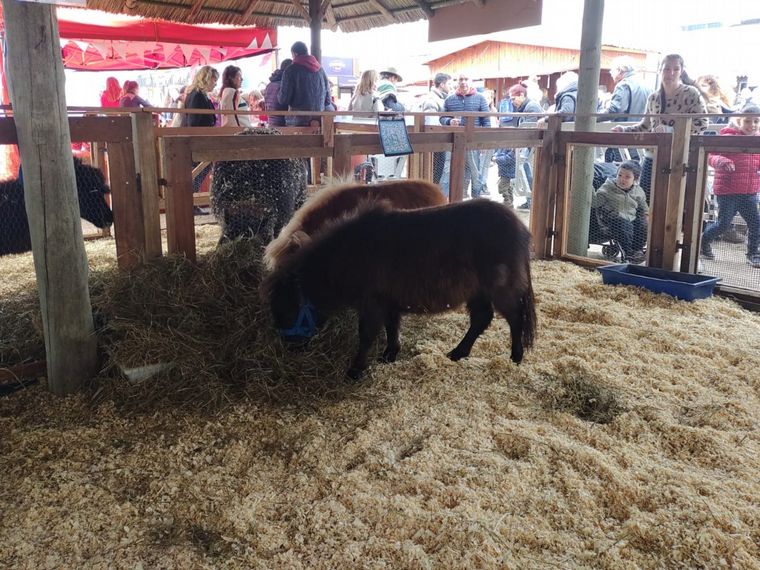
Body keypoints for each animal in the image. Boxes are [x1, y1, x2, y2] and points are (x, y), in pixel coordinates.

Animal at [262, 199, 537, 379]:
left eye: (288, 309)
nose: (291, 348)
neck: (347, 254)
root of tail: (520, 227)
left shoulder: (371, 303)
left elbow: (366, 335)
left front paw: (355, 370)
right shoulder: (388, 301)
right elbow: (391, 326)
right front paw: (389, 354)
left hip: (500, 288)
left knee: (515, 318)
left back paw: (515, 357)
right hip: (478, 292)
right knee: (481, 319)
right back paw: (458, 353)